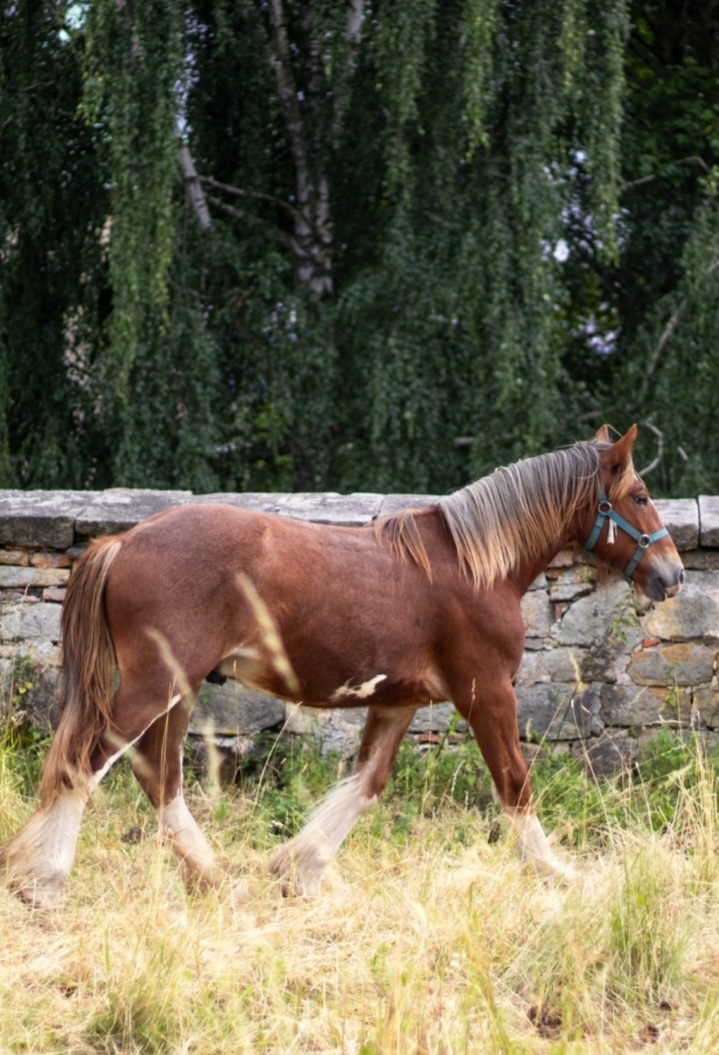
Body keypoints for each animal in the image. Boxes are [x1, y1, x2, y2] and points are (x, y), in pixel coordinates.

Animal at [0, 425, 684, 907]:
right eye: (641, 495)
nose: (672, 575)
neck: (473, 566)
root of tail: (122, 541)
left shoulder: (398, 702)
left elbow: (366, 786)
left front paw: (295, 872)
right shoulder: (487, 693)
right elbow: (515, 784)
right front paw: (556, 872)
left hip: (179, 691)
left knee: (158, 776)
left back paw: (215, 881)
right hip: (155, 686)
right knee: (85, 761)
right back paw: (45, 882)